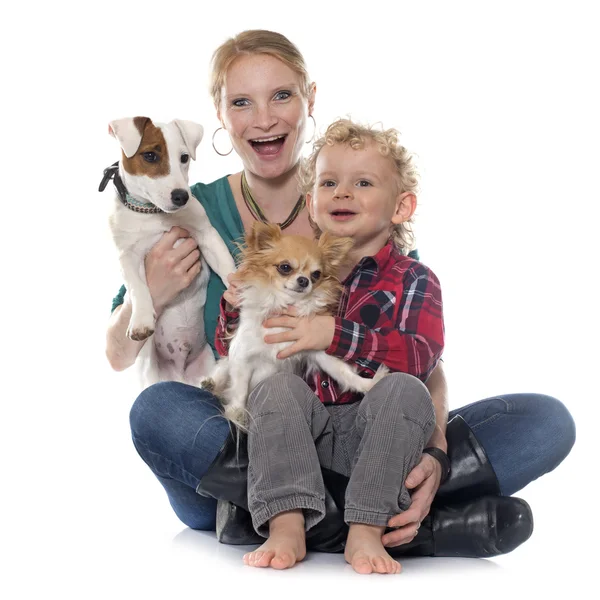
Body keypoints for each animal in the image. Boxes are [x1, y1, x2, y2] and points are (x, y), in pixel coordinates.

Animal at [104, 117, 236, 390]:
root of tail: (181, 373)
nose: (181, 196)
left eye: (184, 157)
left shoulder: (206, 235)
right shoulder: (127, 256)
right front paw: (141, 321)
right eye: (150, 156)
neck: (153, 214)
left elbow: (228, 267)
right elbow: (138, 288)